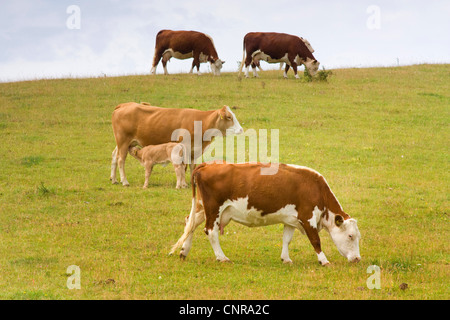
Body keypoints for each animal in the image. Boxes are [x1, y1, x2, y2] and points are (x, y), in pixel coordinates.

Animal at [110, 102, 243, 186]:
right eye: (229, 117)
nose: (241, 129)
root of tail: (124, 105)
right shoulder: (184, 148)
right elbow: (183, 166)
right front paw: (183, 184)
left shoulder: (194, 151)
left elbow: (192, 167)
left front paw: (192, 182)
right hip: (123, 141)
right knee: (121, 160)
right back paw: (124, 181)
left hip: (122, 143)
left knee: (114, 156)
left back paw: (114, 179)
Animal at [170, 162, 362, 264]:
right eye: (351, 236)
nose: (357, 259)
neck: (316, 188)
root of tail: (207, 165)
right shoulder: (307, 218)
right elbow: (316, 241)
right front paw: (324, 261)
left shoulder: (290, 220)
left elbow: (286, 239)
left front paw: (286, 258)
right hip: (213, 210)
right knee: (210, 231)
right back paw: (222, 257)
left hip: (203, 208)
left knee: (190, 223)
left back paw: (184, 251)